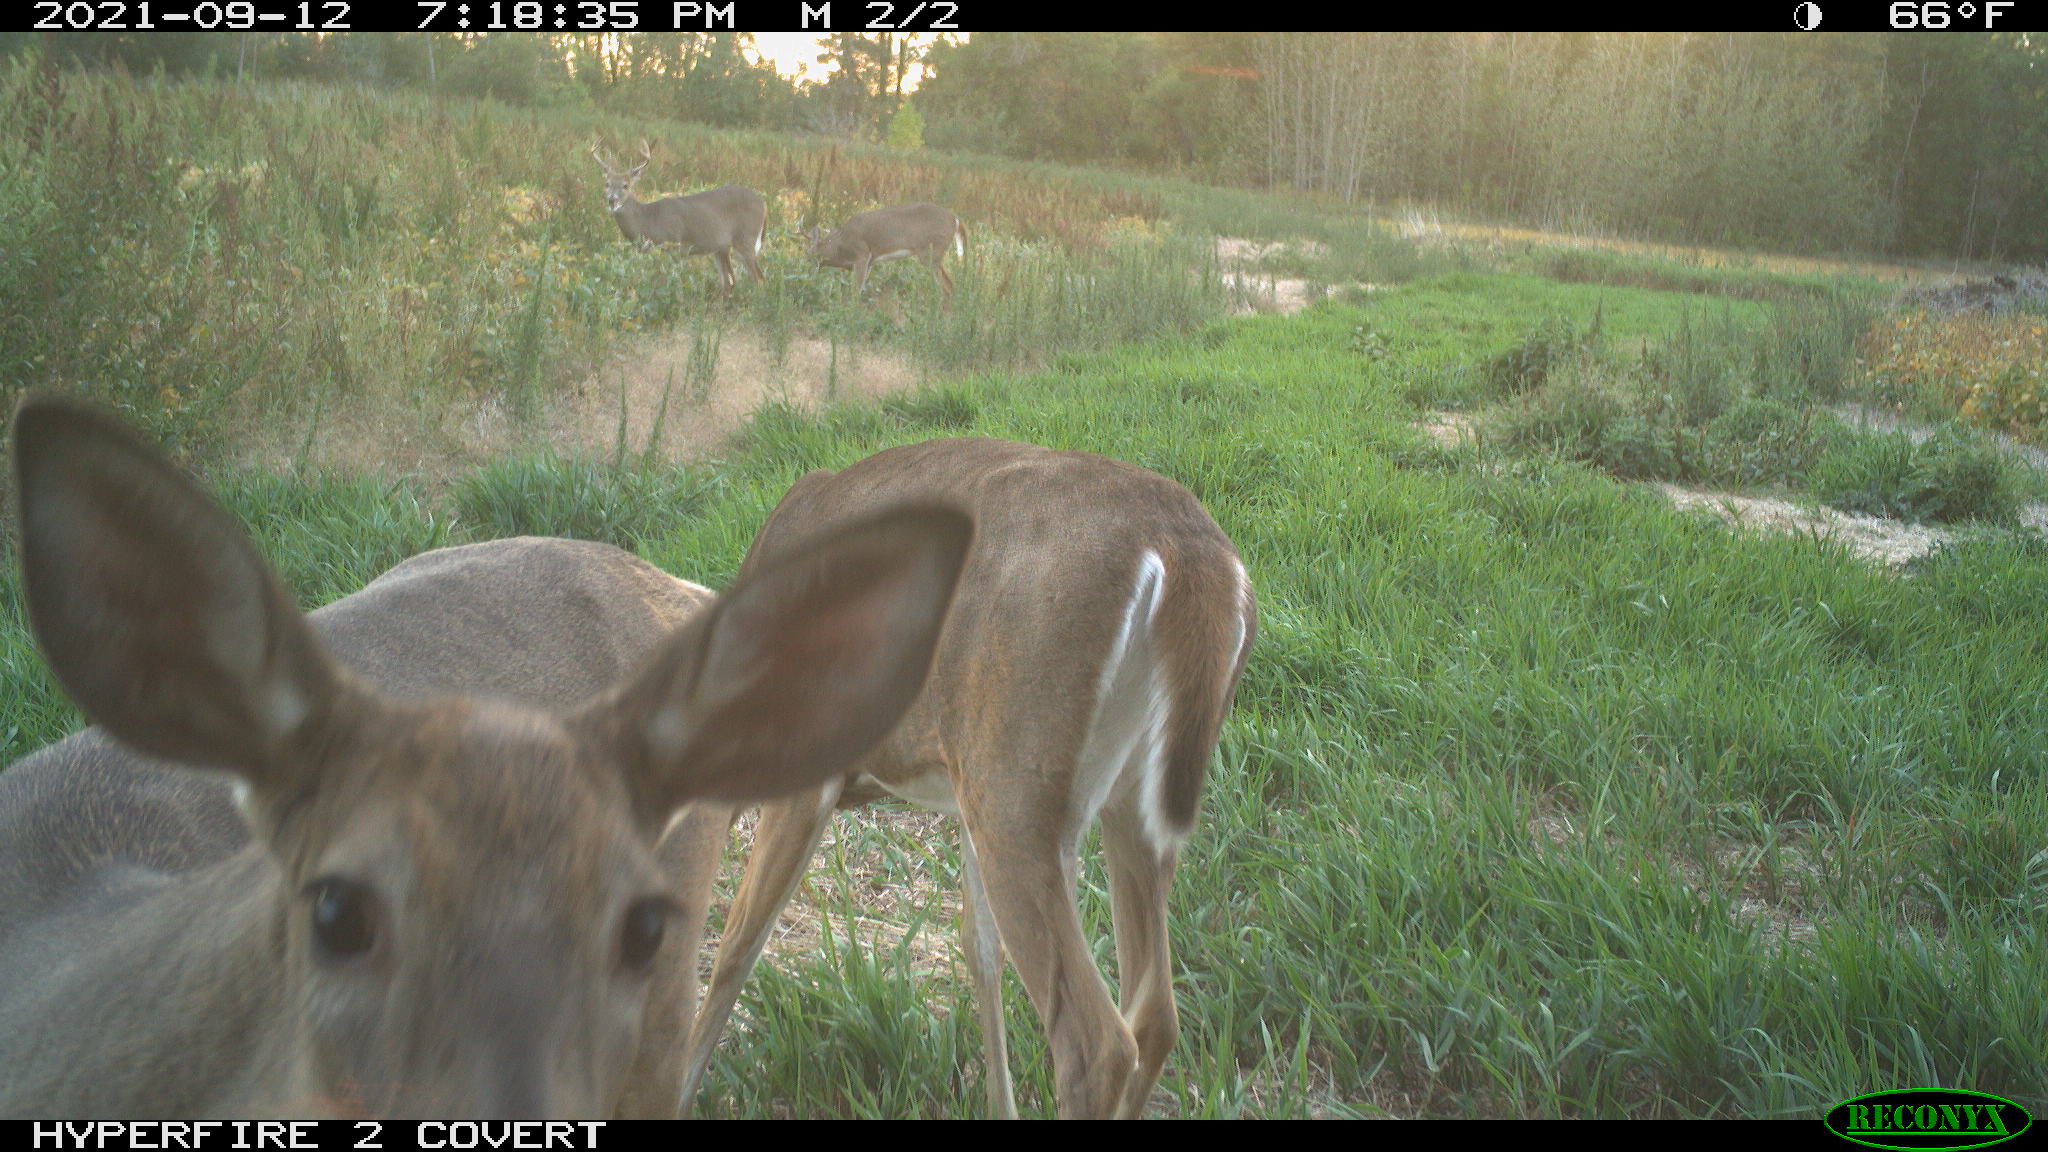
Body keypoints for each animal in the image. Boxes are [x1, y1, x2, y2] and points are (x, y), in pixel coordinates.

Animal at [593, 139, 770, 291]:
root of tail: (764, 203)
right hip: (721, 248)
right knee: (729, 282)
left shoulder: (677, 246)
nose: (612, 201)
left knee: (758, 278)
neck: (647, 220)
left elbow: (672, 283)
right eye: (607, 184)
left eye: (626, 185)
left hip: (746, 238)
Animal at [675, 432, 1245, 1115]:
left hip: (1017, 786)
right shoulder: (960, 786)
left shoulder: (804, 766)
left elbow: (738, 943)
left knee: (1096, 1042)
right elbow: (979, 947)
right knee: (1155, 1012)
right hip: (1115, 797)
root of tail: (1186, 552)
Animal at [802, 203, 962, 297]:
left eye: (809, 255)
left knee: (945, 288)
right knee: (951, 285)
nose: (807, 275)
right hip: (936, 256)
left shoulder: (862, 254)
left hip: (930, 253)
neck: (840, 246)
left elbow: (856, 291)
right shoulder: (870, 262)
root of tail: (955, 219)